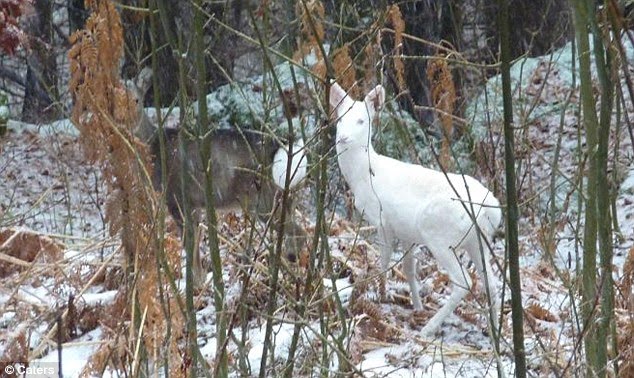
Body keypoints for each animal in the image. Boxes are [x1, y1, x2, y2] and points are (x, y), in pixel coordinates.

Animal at [328, 82, 502, 336]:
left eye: (362, 120)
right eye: (340, 118)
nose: (343, 137)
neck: (364, 176)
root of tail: (492, 210)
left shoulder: (382, 220)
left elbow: (384, 261)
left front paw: (380, 296)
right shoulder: (407, 232)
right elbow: (409, 269)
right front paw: (417, 305)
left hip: (439, 234)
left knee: (464, 282)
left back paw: (428, 329)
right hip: (478, 240)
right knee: (491, 282)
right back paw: (494, 330)